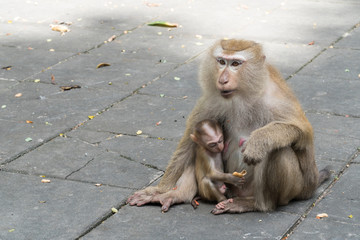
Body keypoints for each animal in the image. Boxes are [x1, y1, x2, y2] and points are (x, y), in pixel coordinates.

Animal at [128, 39, 330, 214]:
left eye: (236, 64)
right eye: (221, 61)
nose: (223, 79)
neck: (243, 94)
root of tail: (309, 188)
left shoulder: (275, 98)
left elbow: (303, 133)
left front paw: (258, 141)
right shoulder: (212, 100)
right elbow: (189, 142)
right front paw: (160, 190)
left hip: (292, 189)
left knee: (278, 151)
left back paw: (256, 204)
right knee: (198, 147)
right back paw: (178, 195)